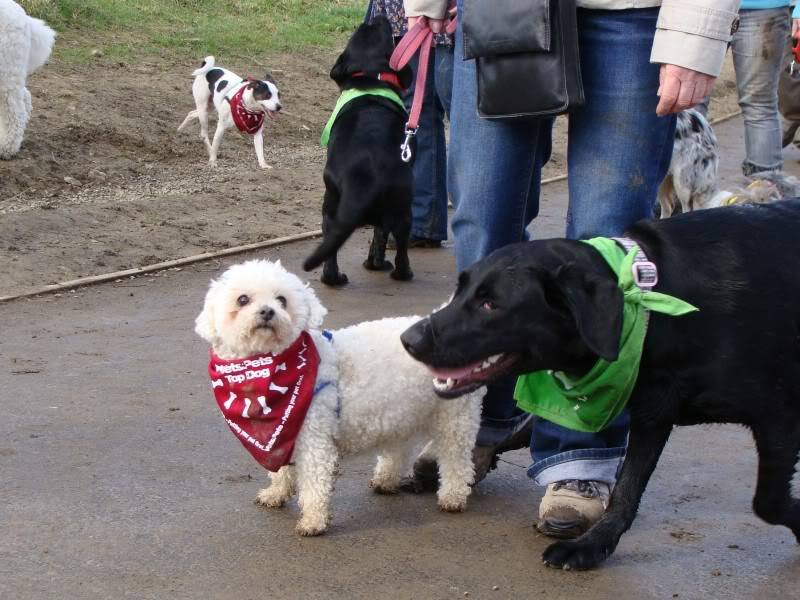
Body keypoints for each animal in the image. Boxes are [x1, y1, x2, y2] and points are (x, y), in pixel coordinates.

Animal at [194, 260, 482, 536]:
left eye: (282, 300)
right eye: (242, 299)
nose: (267, 311)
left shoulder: (314, 440)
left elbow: (314, 484)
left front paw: (313, 520)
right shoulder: (284, 433)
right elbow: (282, 469)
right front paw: (276, 493)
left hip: (456, 417)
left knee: (456, 459)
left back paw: (453, 496)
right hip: (400, 411)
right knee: (399, 448)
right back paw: (386, 479)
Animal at [304, 14, 416, 286]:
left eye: (366, 28)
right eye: (383, 30)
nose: (378, 15)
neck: (370, 79)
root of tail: (364, 175)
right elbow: (380, 237)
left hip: (332, 209)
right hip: (403, 208)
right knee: (399, 247)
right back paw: (401, 273)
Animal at [404, 200, 800, 568]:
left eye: (490, 304)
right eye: (460, 291)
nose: (408, 339)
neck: (647, 308)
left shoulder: (777, 419)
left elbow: (767, 501)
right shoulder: (653, 412)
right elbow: (624, 490)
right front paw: (592, 546)